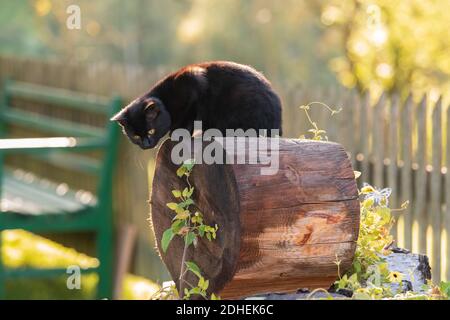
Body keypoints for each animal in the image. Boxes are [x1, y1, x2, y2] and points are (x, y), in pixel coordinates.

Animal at [111, 61, 284, 149]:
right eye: (135, 136)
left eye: (151, 131)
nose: (146, 144)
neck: (165, 100)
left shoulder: (194, 81)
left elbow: (188, 118)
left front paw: (177, 134)